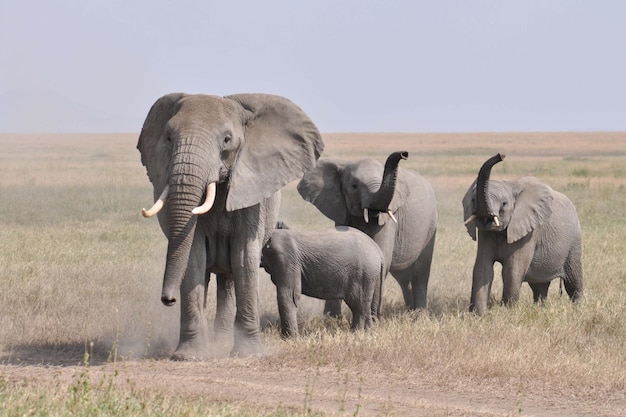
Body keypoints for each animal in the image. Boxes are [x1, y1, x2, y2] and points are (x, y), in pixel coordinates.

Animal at [136, 92, 322, 358]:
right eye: (169, 138)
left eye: (227, 140)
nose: (168, 299)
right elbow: (193, 256)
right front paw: (189, 356)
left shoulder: (251, 190)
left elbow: (244, 255)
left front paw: (248, 354)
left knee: (230, 275)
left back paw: (223, 342)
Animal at [296, 150, 434, 312]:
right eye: (354, 186)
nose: (404, 154)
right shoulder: (341, 209)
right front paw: (331, 317)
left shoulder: (387, 220)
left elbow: (381, 254)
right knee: (403, 277)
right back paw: (410, 310)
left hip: (430, 226)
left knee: (420, 273)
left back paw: (419, 313)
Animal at [460, 153, 584, 312]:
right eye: (473, 200)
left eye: (504, 203)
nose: (501, 155)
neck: (510, 185)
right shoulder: (485, 233)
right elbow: (483, 267)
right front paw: (478, 314)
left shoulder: (529, 232)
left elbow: (512, 270)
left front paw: (508, 312)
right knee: (539, 287)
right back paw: (540, 309)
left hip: (574, 242)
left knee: (573, 279)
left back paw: (579, 308)